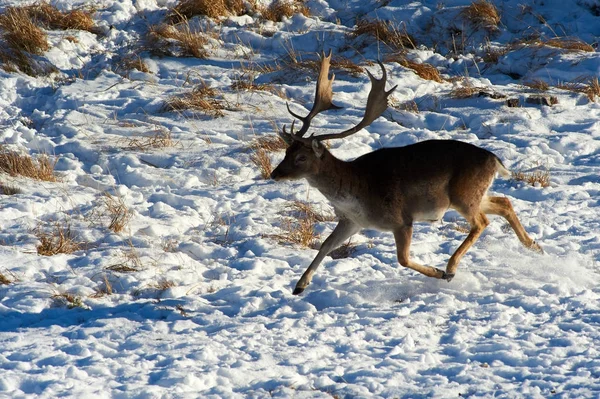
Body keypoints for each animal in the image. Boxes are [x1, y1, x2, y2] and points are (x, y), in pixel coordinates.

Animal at [272, 51, 544, 296]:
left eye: (301, 157)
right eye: (286, 151)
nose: (275, 174)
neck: (356, 191)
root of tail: (495, 160)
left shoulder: (401, 219)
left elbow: (402, 259)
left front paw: (439, 273)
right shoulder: (352, 221)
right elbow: (326, 245)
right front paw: (299, 286)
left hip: (462, 196)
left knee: (482, 222)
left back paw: (451, 268)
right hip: (474, 194)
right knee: (504, 202)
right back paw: (534, 246)